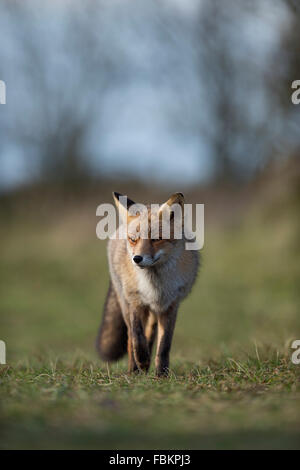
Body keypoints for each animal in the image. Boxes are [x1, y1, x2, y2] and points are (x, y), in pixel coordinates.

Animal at [96, 191, 199, 374]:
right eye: (133, 240)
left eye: (156, 239)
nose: (137, 259)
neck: (154, 285)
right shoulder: (135, 300)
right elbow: (137, 336)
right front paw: (142, 360)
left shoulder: (170, 305)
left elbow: (164, 345)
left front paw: (161, 374)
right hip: (125, 303)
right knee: (130, 337)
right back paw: (134, 370)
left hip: (154, 311)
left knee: (150, 333)